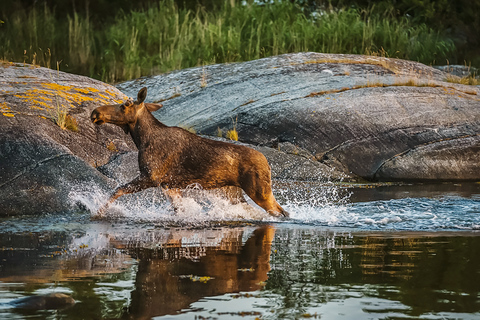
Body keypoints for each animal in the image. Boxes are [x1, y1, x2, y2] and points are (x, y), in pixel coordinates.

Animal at [91, 87, 288, 218]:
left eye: (125, 105)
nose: (95, 112)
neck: (142, 139)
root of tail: (267, 163)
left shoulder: (151, 177)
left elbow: (117, 190)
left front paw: (98, 212)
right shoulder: (169, 185)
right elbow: (180, 209)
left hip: (259, 190)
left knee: (281, 212)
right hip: (235, 193)